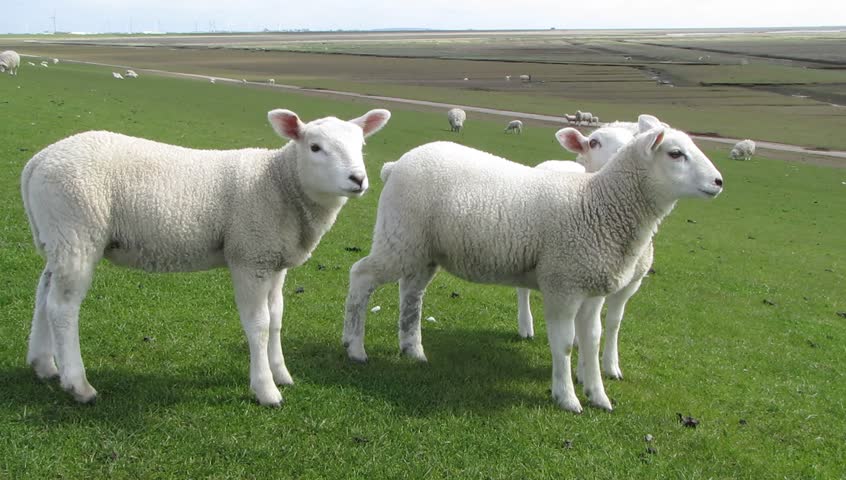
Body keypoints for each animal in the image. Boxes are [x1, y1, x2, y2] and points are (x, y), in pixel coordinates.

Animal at [20, 108, 391, 406]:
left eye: (361, 146)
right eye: (315, 147)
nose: (358, 179)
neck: (281, 184)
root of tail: (37, 162)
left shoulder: (273, 259)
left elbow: (277, 318)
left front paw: (281, 373)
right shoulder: (249, 256)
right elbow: (258, 324)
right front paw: (266, 389)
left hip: (57, 237)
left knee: (44, 293)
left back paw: (43, 365)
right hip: (77, 230)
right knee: (63, 307)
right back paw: (78, 385)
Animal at [342, 115, 723, 413]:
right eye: (675, 153)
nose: (719, 182)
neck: (598, 203)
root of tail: (395, 166)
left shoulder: (592, 289)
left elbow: (593, 338)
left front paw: (598, 394)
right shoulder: (562, 284)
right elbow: (565, 343)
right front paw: (567, 397)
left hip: (424, 249)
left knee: (411, 294)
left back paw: (413, 350)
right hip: (399, 236)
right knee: (361, 276)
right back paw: (354, 347)